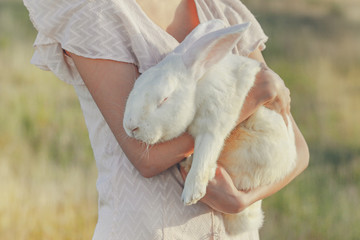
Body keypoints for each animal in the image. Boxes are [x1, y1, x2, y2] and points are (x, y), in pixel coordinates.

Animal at [122, 20, 296, 234]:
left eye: (164, 99)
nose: (131, 127)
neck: (198, 87)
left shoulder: (213, 123)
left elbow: (206, 152)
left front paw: (191, 193)